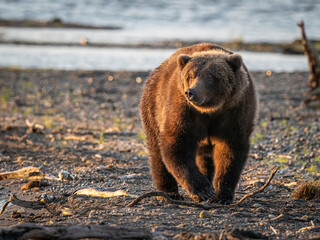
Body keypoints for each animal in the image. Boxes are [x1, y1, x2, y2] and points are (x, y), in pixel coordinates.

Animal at [140, 43, 258, 204]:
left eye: (211, 76)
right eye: (190, 76)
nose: (191, 92)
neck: (210, 110)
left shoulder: (235, 110)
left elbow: (231, 150)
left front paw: (222, 195)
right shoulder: (184, 110)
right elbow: (177, 144)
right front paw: (203, 191)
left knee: (204, 160)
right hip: (153, 108)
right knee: (157, 153)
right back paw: (169, 192)